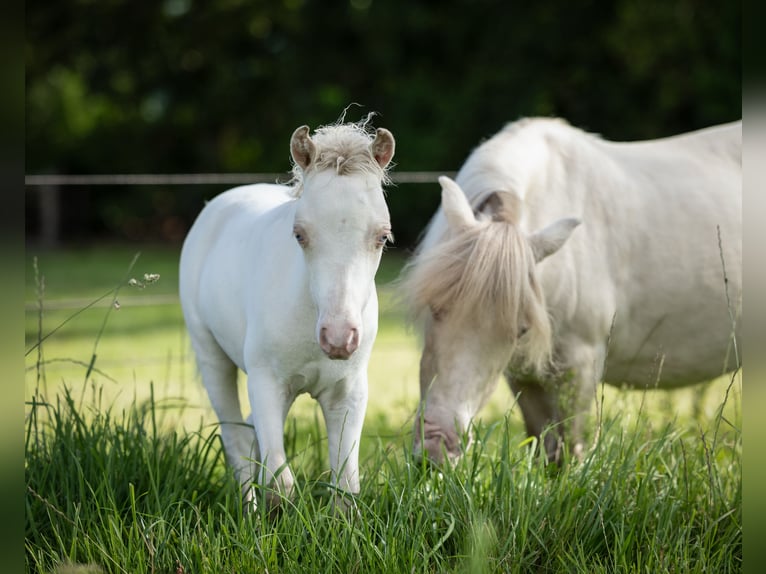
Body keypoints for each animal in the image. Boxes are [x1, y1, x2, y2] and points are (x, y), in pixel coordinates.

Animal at [180, 120, 396, 508]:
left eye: (382, 237)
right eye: (299, 235)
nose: (338, 337)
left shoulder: (349, 392)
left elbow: (346, 487)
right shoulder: (265, 383)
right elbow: (279, 485)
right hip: (211, 357)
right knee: (236, 438)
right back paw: (248, 509)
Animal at [402, 119, 744, 466]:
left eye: (519, 330)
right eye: (435, 308)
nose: (436, 449)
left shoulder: (579, 366)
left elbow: (568, 451)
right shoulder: (523, 375)